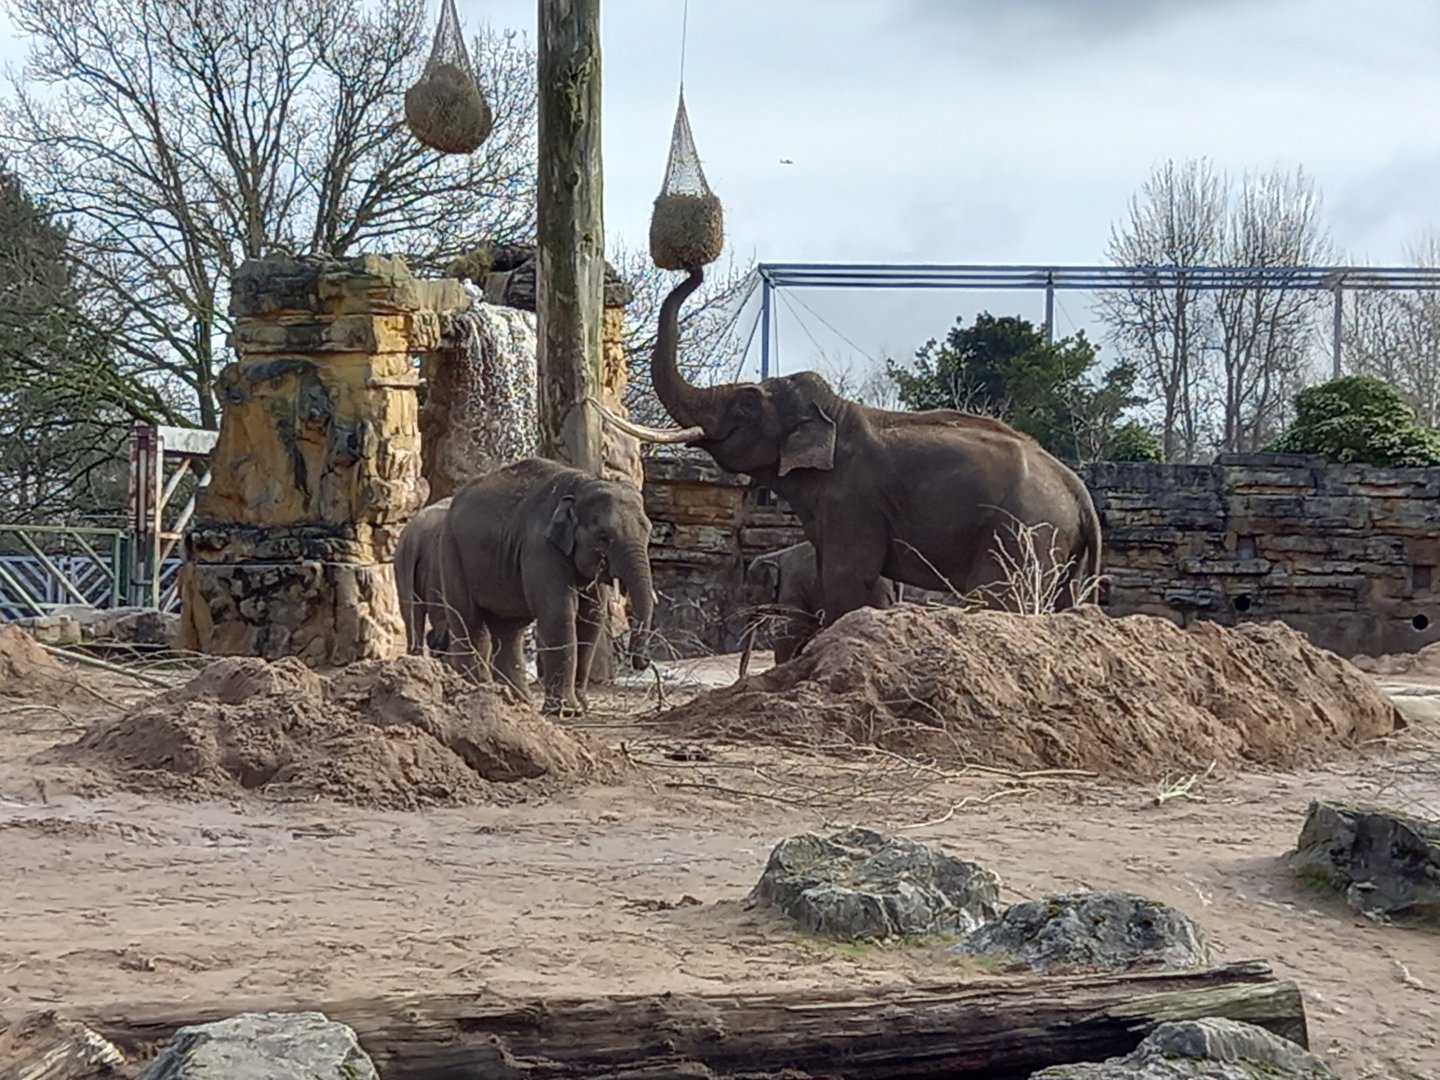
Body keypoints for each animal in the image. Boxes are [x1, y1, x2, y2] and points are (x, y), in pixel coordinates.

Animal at [438, 456, 656, 714]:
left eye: (648, 532)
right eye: (603, 537)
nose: (645, 662)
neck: (581, 485)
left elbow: (591, 619)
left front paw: (581, 706)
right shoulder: (540, 546)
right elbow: (558, 612)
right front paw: (567, 711)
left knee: (508, 630)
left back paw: (517, 702)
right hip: (452, 551)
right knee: (469, 622)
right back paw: (478, 692)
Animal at [600, 265, 1103, 631]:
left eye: (745, 404)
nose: (695, 267)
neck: (836, 413)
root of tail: (1081, 494)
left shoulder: (853, 498)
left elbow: (847, 576)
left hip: (1024, 532)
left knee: (1001, 596)